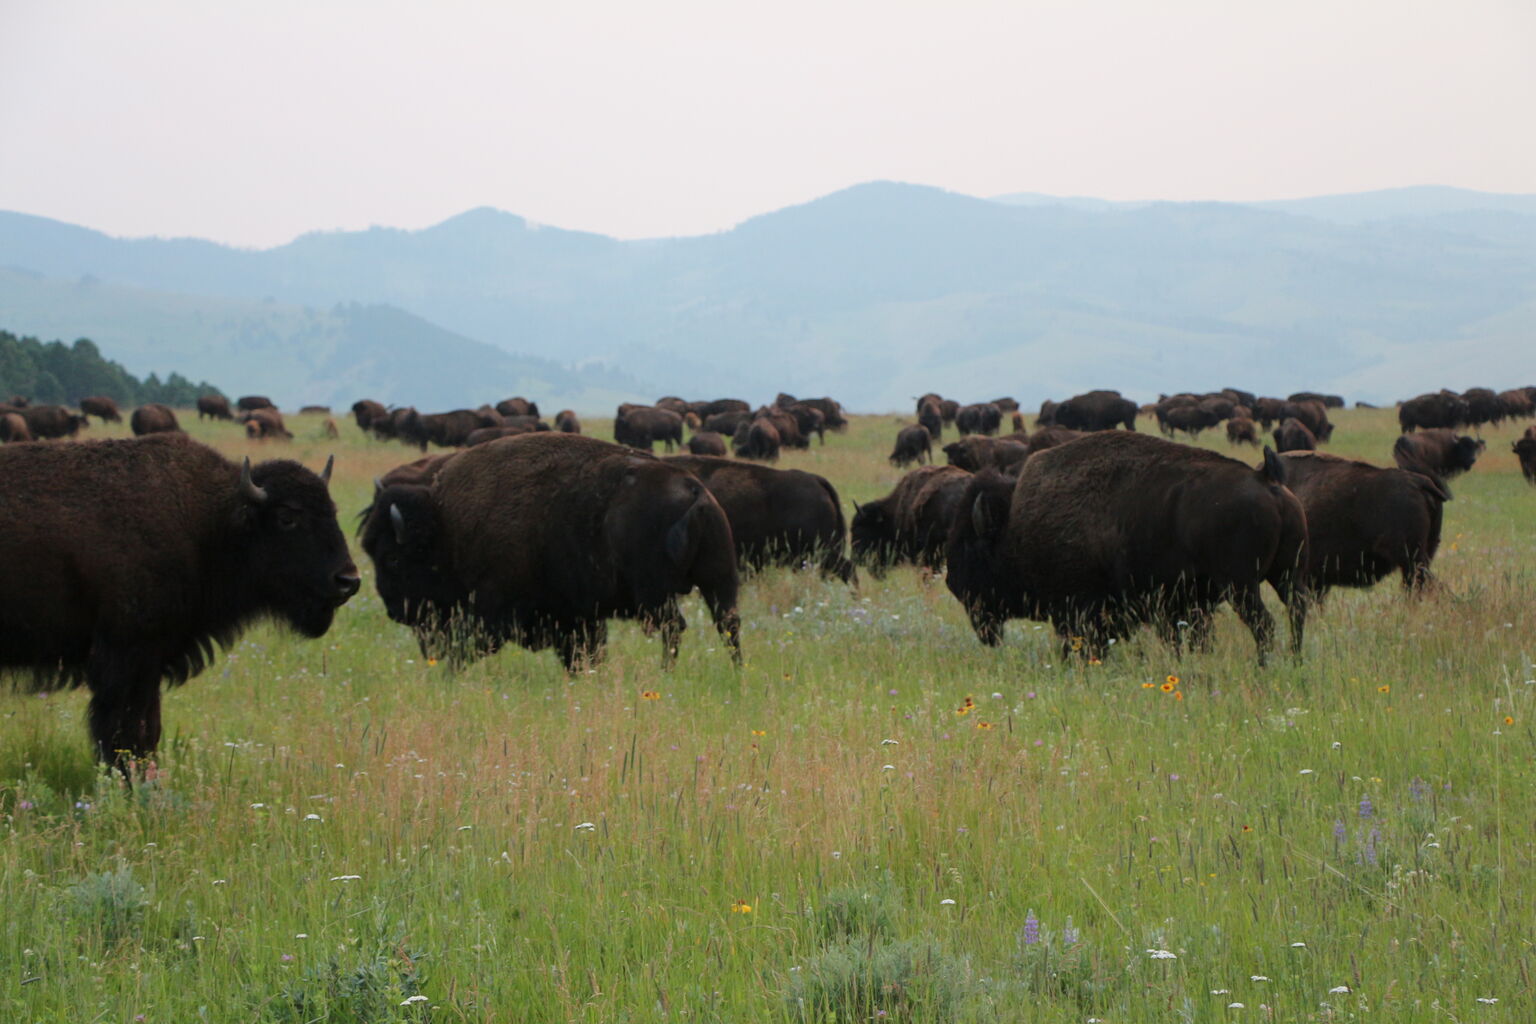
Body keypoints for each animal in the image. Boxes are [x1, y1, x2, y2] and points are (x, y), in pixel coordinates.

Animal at [0, 432, 356, 761]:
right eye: (287, 518)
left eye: (333, 511)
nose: (348, 580)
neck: (208, 522)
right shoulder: (128, 656)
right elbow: (126, 732)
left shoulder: (150, 662)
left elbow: (146, 729)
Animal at [362, 432, 740, 672]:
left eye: (392, 558)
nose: (395, 610)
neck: (446, 527)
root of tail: (694, 491)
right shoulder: (579, 615)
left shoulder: (495, 609)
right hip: (718, 580)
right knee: (728, 625)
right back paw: (736, 672)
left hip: (655, 595)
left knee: (675, 628)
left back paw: (666, 673)